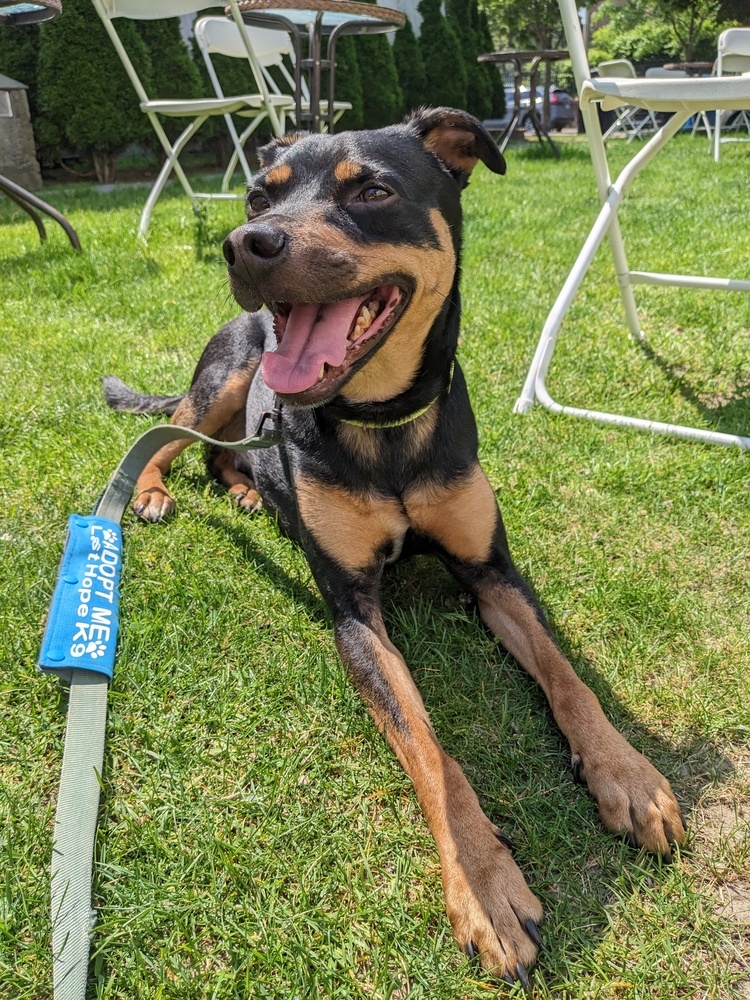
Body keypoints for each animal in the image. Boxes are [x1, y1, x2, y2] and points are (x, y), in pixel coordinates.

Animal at [104, 109, 688, 984]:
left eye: (373, 191)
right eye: (257, 194)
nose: (245, 242)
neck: (382, 421)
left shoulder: (492, 571)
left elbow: (568, 677)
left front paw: (628, 775)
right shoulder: (353, 612)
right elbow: (429, 748)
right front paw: (486, 887)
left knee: (220, 451)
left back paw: (249, 488)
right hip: (224, 380)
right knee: (170, 434)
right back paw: (152, 491)